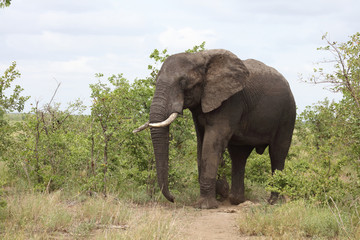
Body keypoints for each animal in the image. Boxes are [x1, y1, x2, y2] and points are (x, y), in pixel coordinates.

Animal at [133, 49, 296, 209]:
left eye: (184, 82)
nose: (173, 199)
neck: (199, 57)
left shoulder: (230, 100)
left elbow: (211, 144)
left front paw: (205, 206)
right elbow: (201, 144)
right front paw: (221, 191)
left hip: (288, 113)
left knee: (277, 153)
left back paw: (274, 202)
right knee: (239, 155)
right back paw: (237, 200)